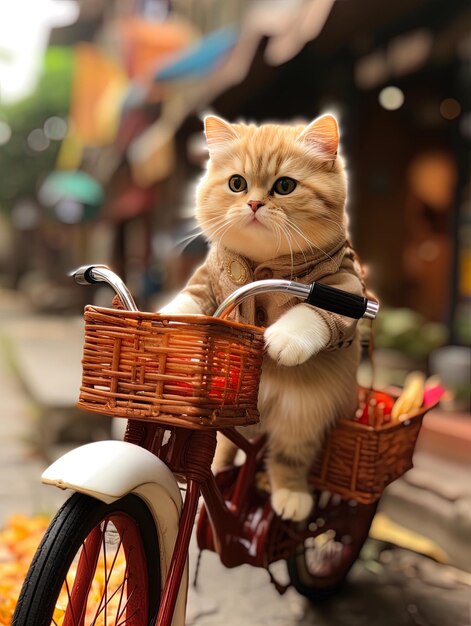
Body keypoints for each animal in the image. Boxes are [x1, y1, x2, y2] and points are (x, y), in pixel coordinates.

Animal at [162, 113, 366, 520]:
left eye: (284, 186)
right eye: (237, 184)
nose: (255, 203)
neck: (261, 267)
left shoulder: (343, 288)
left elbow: (309, 314)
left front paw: (283, 341)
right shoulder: (209, 284)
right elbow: (189, 302)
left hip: (302, 414)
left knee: (288, 458)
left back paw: (290, 496)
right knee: (225, 451)